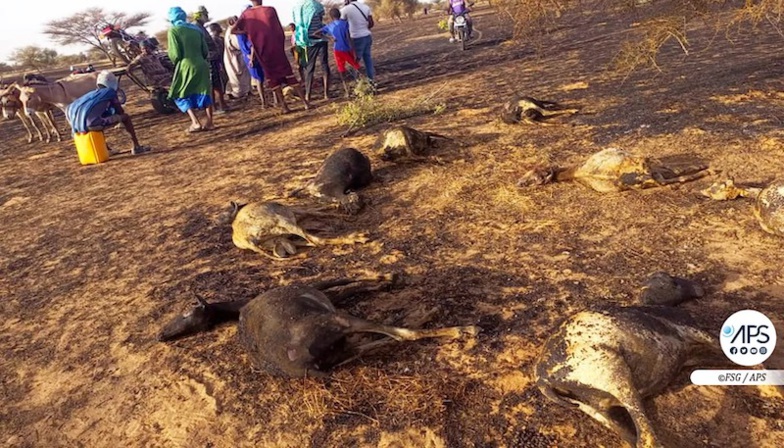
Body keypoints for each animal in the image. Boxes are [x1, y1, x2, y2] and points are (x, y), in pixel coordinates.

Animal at [158, 274, 480, 378]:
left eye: (186, 311)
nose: (161, 334)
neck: (236, 306)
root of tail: (303, 366)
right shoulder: (321, 294)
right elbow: (342, 282)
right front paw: (385, 277)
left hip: (338, 353)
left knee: (377, 341)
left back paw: (426, 313)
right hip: (335, 322)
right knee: (400, 334)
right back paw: (459, 326)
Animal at [219, 201, 369, 259]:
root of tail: (246, 239)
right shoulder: (296, 211)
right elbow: (316, 211)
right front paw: (340, 211)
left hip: (279, 238)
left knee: (312, 241)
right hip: (283, 221)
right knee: (316, 241)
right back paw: (357, 237)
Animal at [533, 273, 720, 448]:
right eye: (672, 282)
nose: (699, 287)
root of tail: (543, 380)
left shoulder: (689, 356)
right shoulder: (692, 329)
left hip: (595, 410)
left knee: (633, 438)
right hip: (618, 378)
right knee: (646, 439)